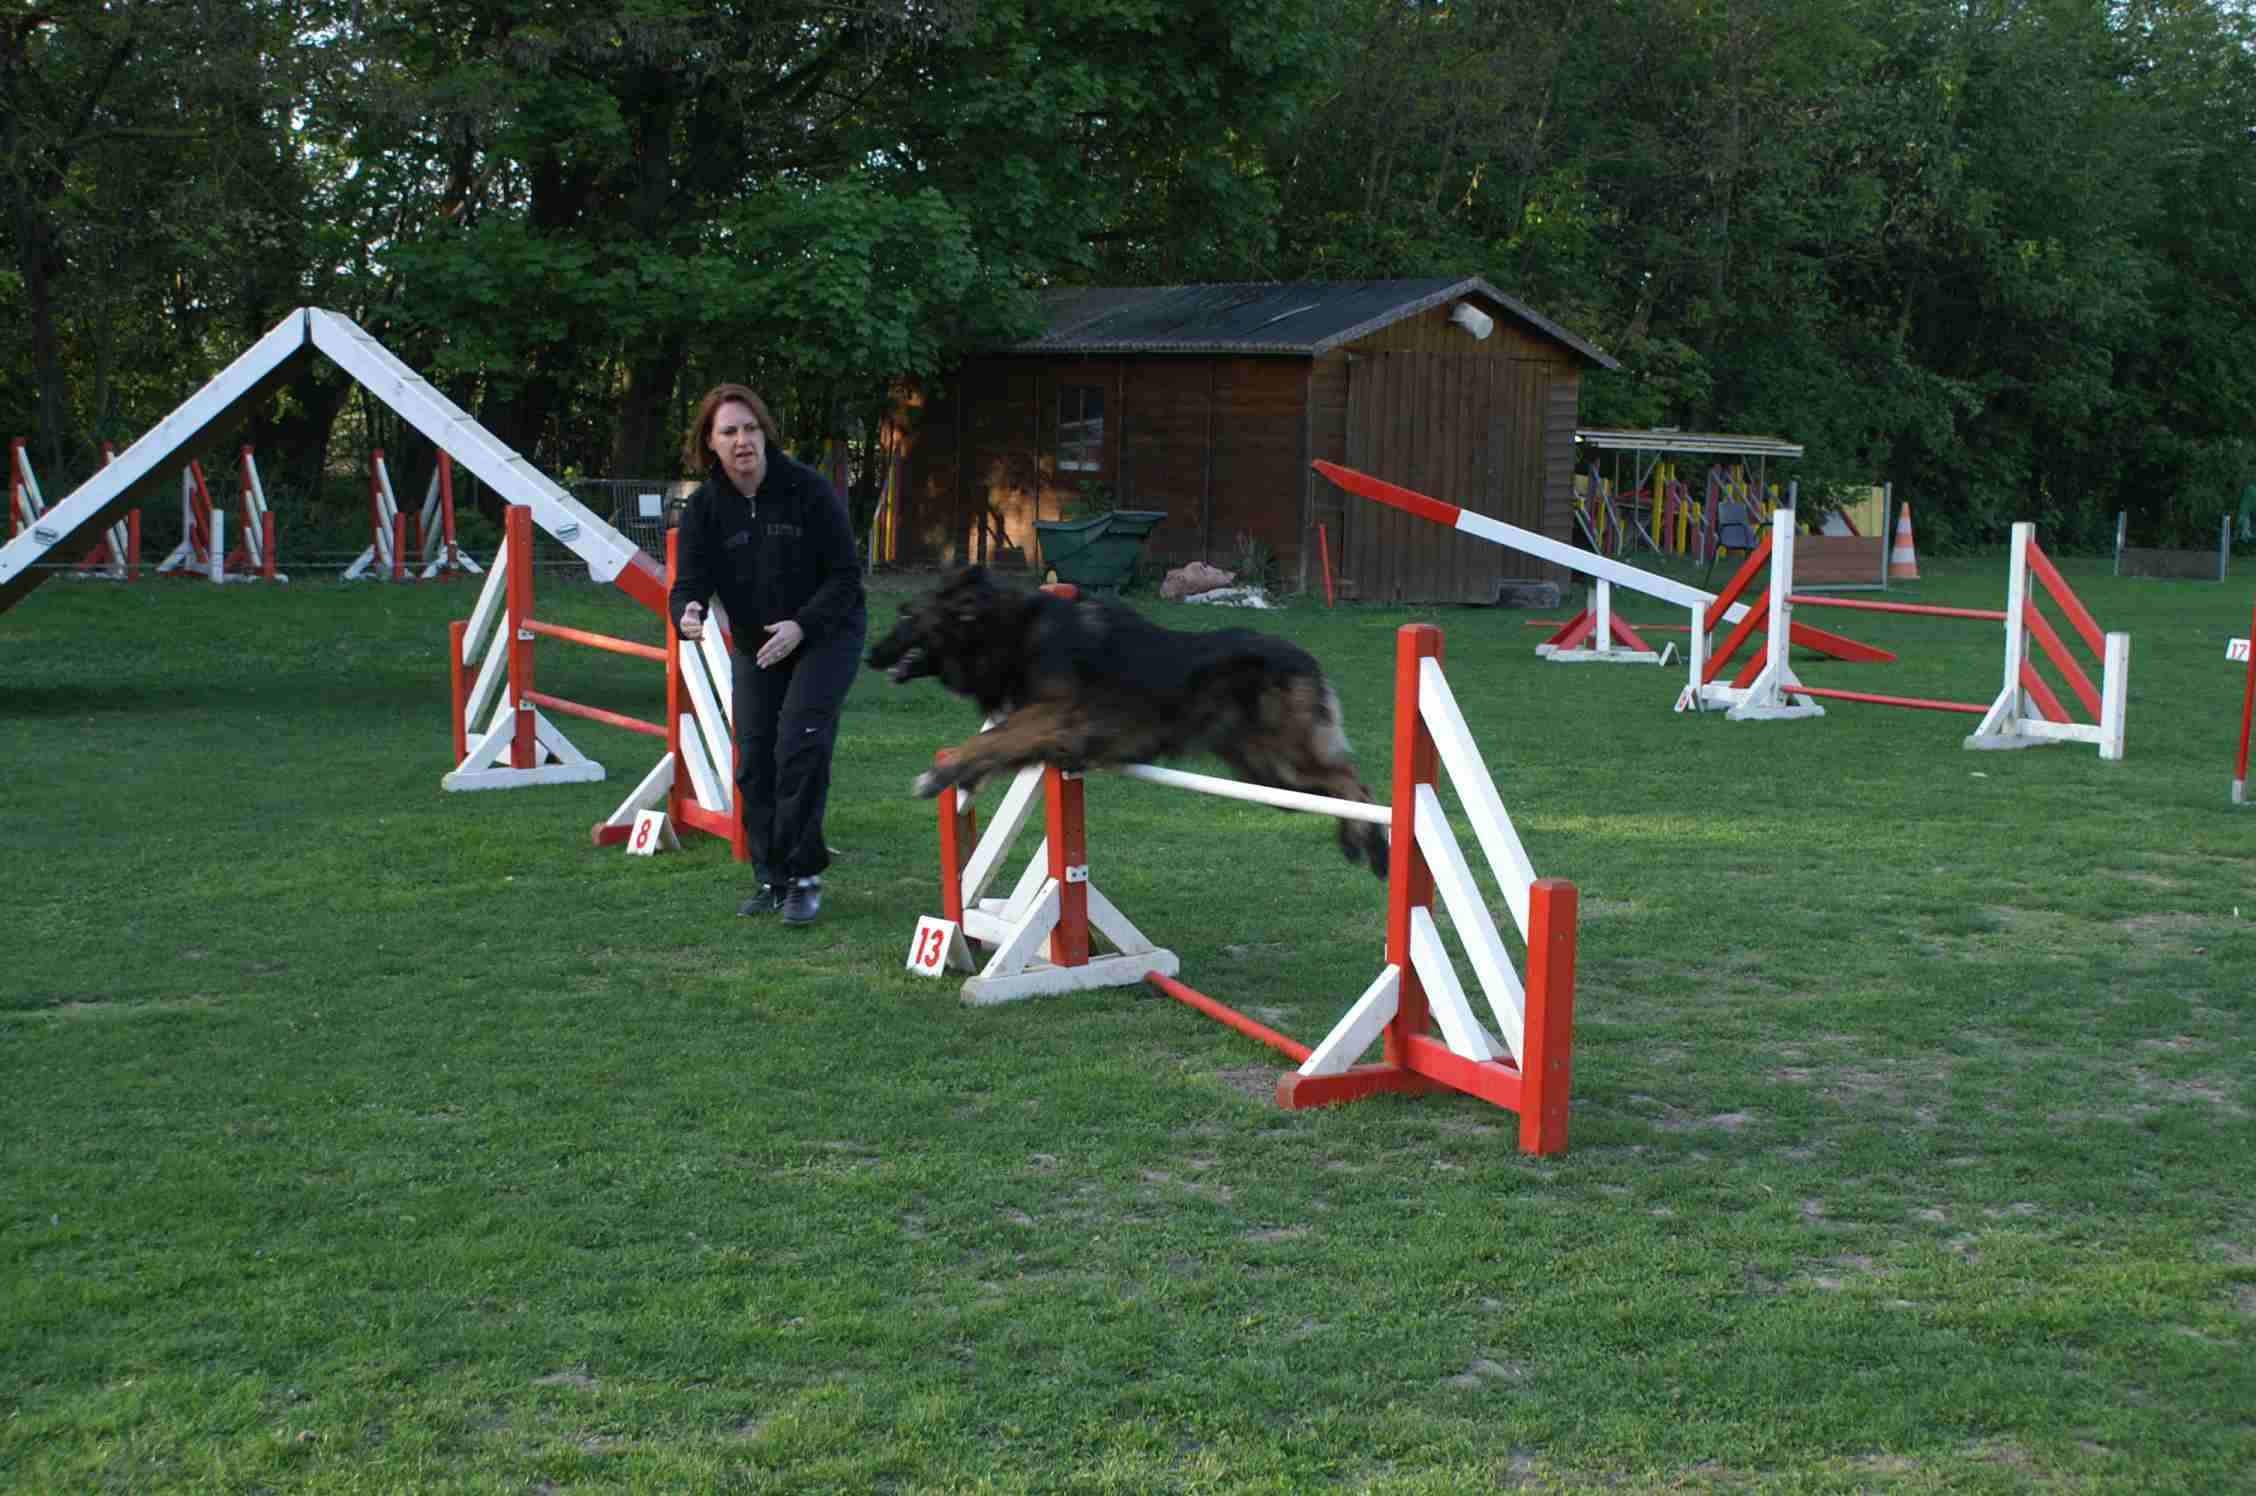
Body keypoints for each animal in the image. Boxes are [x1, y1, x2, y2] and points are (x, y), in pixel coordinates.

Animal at [865, 566, 1389, 877]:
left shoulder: (1057, 715)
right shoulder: (1043, 732)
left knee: (1356, 786)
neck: (1011, 632)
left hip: (1288, 760)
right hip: (1271, 778)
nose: (870, 656)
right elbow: (994, 747)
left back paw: (1375, 847)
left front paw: (937, 774)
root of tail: (1306, 658)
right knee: (1339, 787)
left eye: (906, 616)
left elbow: (987, 742)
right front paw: (962, 780)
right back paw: (1357, 840)